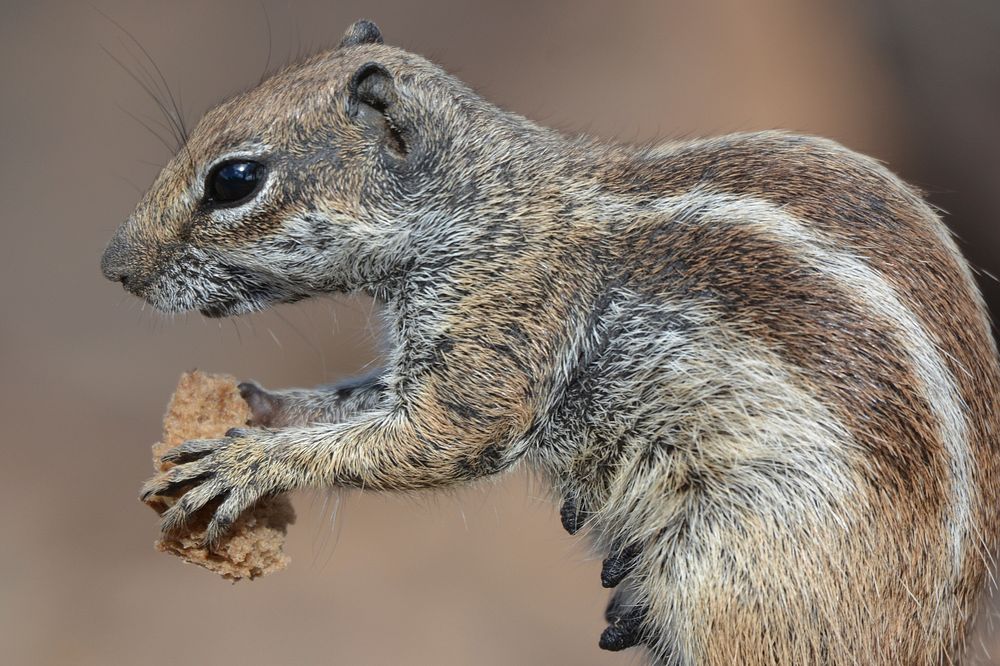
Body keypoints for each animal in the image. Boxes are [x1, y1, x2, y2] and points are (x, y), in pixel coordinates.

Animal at [101, 18, 1000, 660]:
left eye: (234, 180)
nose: (114, 265)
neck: (482, 205)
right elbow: (360, 399)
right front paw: (260, 406)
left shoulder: (502, 328)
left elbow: (436, 437)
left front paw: (250, 463)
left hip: (733, 574)